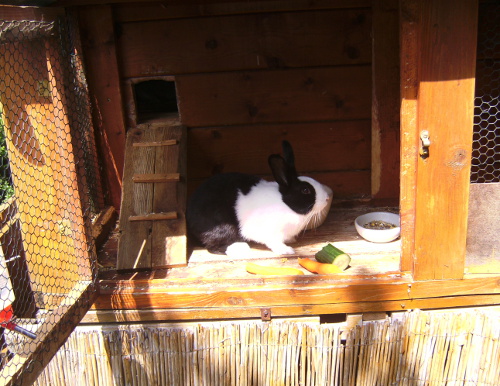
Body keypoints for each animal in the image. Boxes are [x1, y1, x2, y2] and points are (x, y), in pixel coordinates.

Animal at [186, 141, 330, 256]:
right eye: (305, 190)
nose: (327, 198)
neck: (285, 204)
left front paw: (291, 240)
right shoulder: (270, 232)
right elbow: (273, 242)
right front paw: (286, 250)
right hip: (223, 228)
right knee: (213, 247)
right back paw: (240, 248)